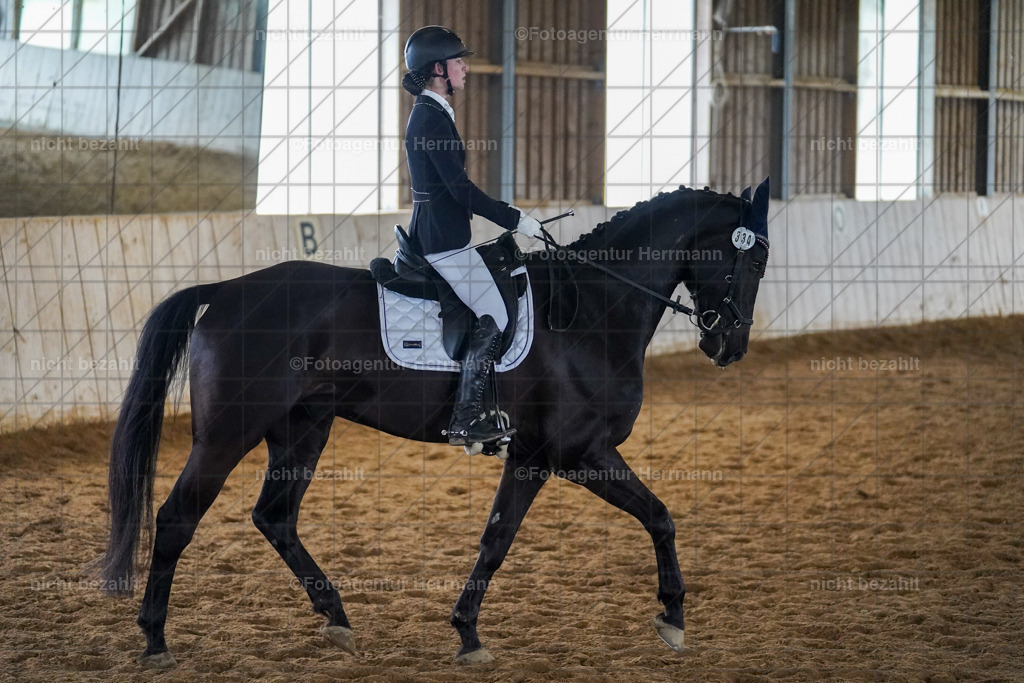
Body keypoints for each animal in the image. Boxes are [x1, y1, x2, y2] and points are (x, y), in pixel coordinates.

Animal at [95, 179, 771, 668]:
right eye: (754, 262)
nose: (730, 346)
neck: (592, 309)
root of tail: (226, 289)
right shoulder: (577, 452)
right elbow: (658, 515)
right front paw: (673, 617)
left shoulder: (531, 456)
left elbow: (498, 540)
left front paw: (467, 633)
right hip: (226, 435)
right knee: (177, 519)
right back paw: (154, 641)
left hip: (303, 428)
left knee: (275, 517)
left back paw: (338, 619)